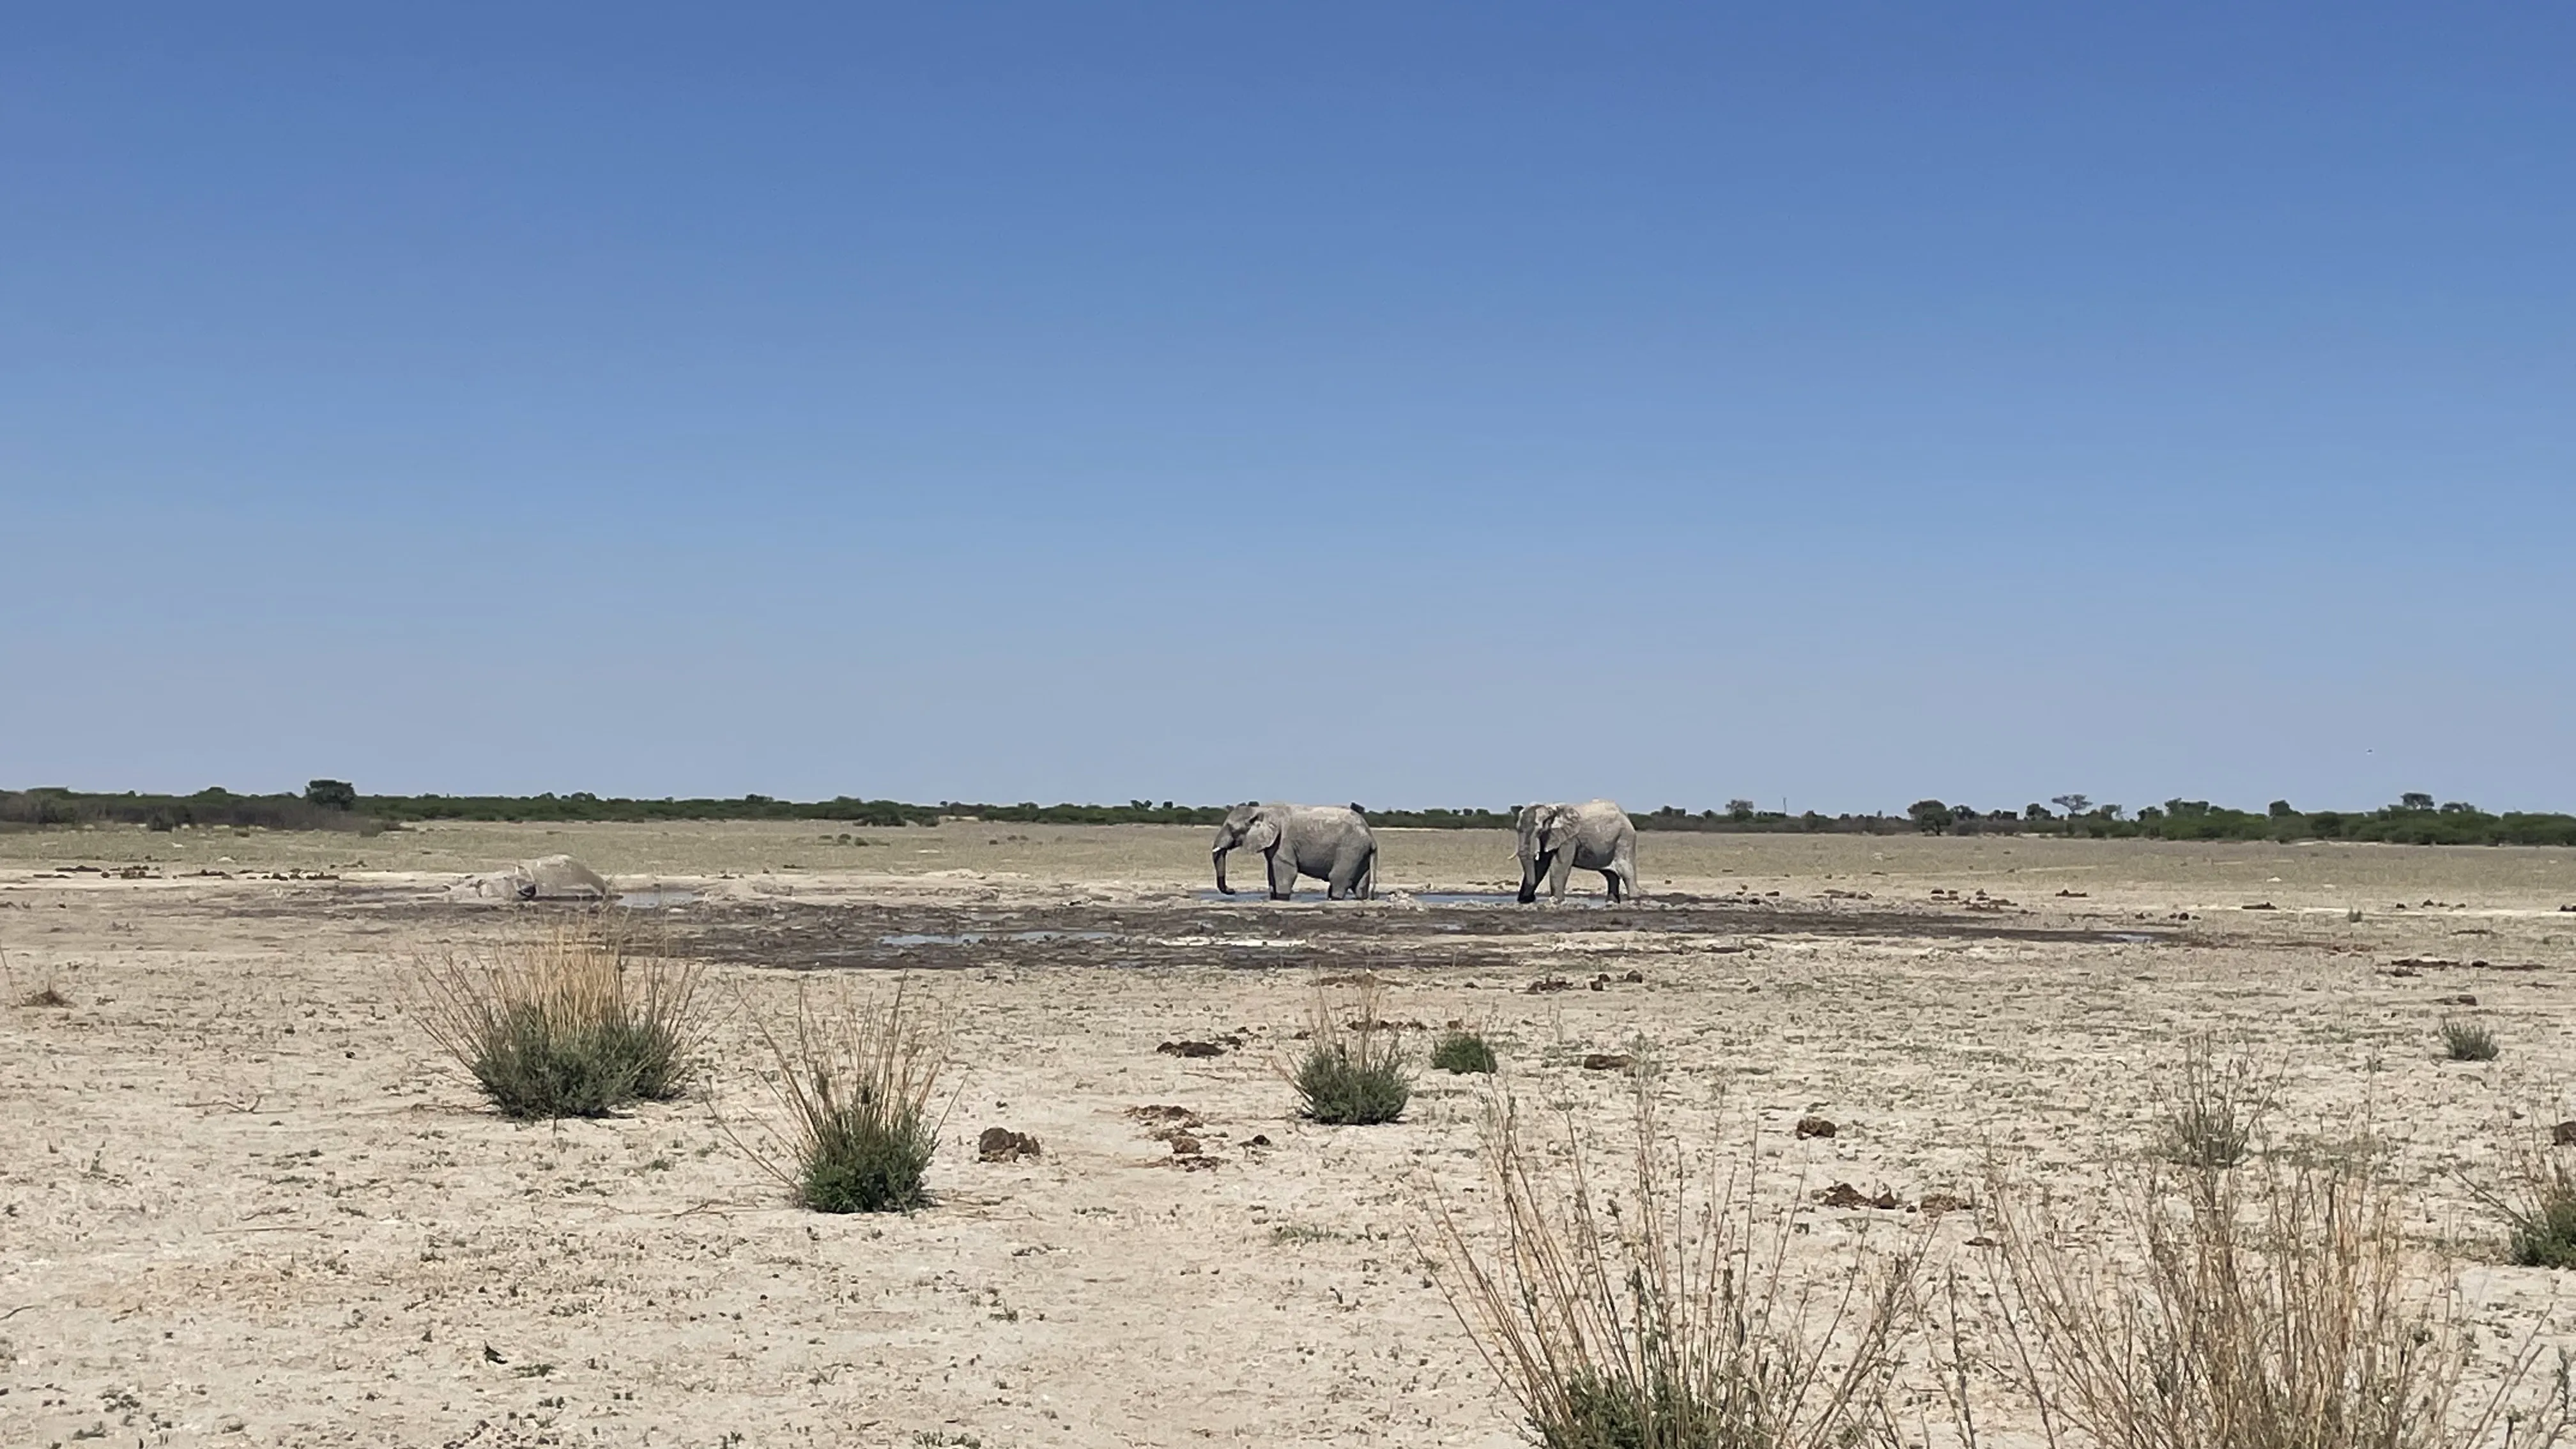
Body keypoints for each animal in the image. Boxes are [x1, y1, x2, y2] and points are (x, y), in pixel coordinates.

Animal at [1211, 802, 1377, 901]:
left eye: (1232, 829)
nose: (1233, 890)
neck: (1262, 809)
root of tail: (1371, 836)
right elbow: (1271, 872)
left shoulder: (1283, 840)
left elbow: (1287, 871)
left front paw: (1282, 898)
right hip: (1360, 851)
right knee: (1360, 882)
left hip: (1351, 848)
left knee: (1337, 879)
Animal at [1516, 800, 1640, 903]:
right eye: (1517, 829)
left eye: (1540, 831)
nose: (1533, 898)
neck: (1551, 809)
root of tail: (1626, 816)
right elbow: (1540, 866)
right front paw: (1525, 901)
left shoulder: (1569, 838)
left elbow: (1559, 866)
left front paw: (1557, 901)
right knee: (1610, 874)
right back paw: (1611, 902)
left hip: (1625, 838)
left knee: (1625, 870)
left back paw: (1634, 900)